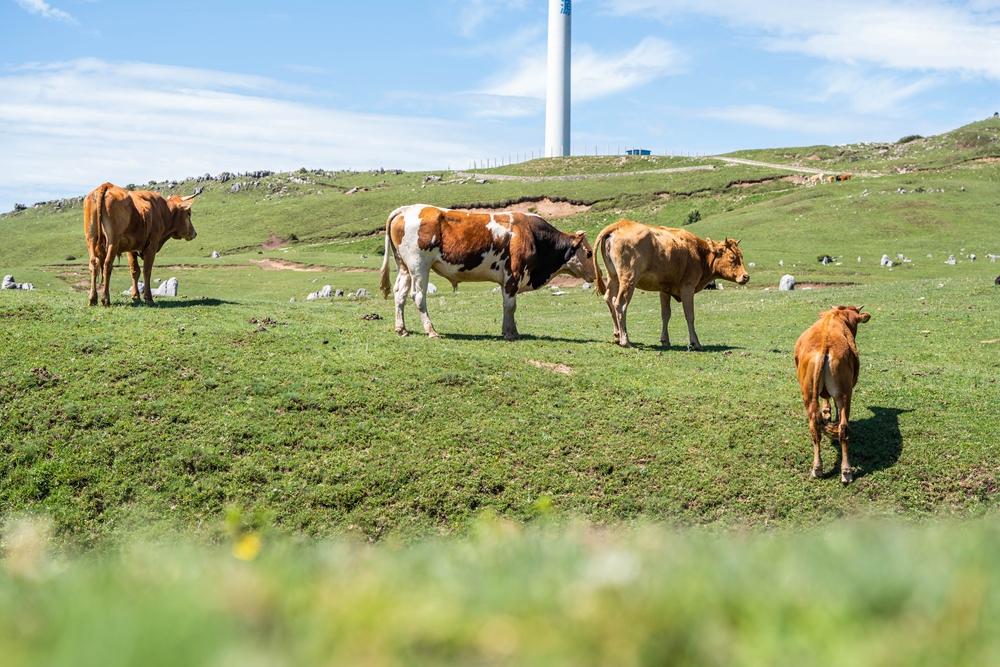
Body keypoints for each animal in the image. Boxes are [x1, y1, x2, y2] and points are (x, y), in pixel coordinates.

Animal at [376, 202, 592, 340]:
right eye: (589, 253)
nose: (595, 275)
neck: (533, 235)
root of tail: (406, 209)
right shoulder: (513, 276)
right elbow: (509, 306)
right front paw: (510, 333)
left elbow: (510, 306)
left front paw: (511, 331)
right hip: (419, 266)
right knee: (418, 296)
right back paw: (431, 331)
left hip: (404, 267)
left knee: (400, 294)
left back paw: (401, 329)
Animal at [588, 219, 748, 350]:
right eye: (732, 257)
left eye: (741, 255)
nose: (746, 276)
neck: (699, 253)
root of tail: (620, 224)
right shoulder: (688, 286)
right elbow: (690, 315)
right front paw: (695, 343)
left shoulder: (664, 289)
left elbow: (665, 314)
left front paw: (665, 340)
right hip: (629, 279)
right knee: (620, 304)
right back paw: (625, 340)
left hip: (613, 276)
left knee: (609, 299)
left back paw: (616, 336)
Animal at [792, 306, 872, 482]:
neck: (836, 315)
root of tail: (824, 345)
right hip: (845, 394)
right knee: (843, 428)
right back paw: (846, 471)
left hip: (808, 394)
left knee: (815, 428)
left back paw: (818, 468)